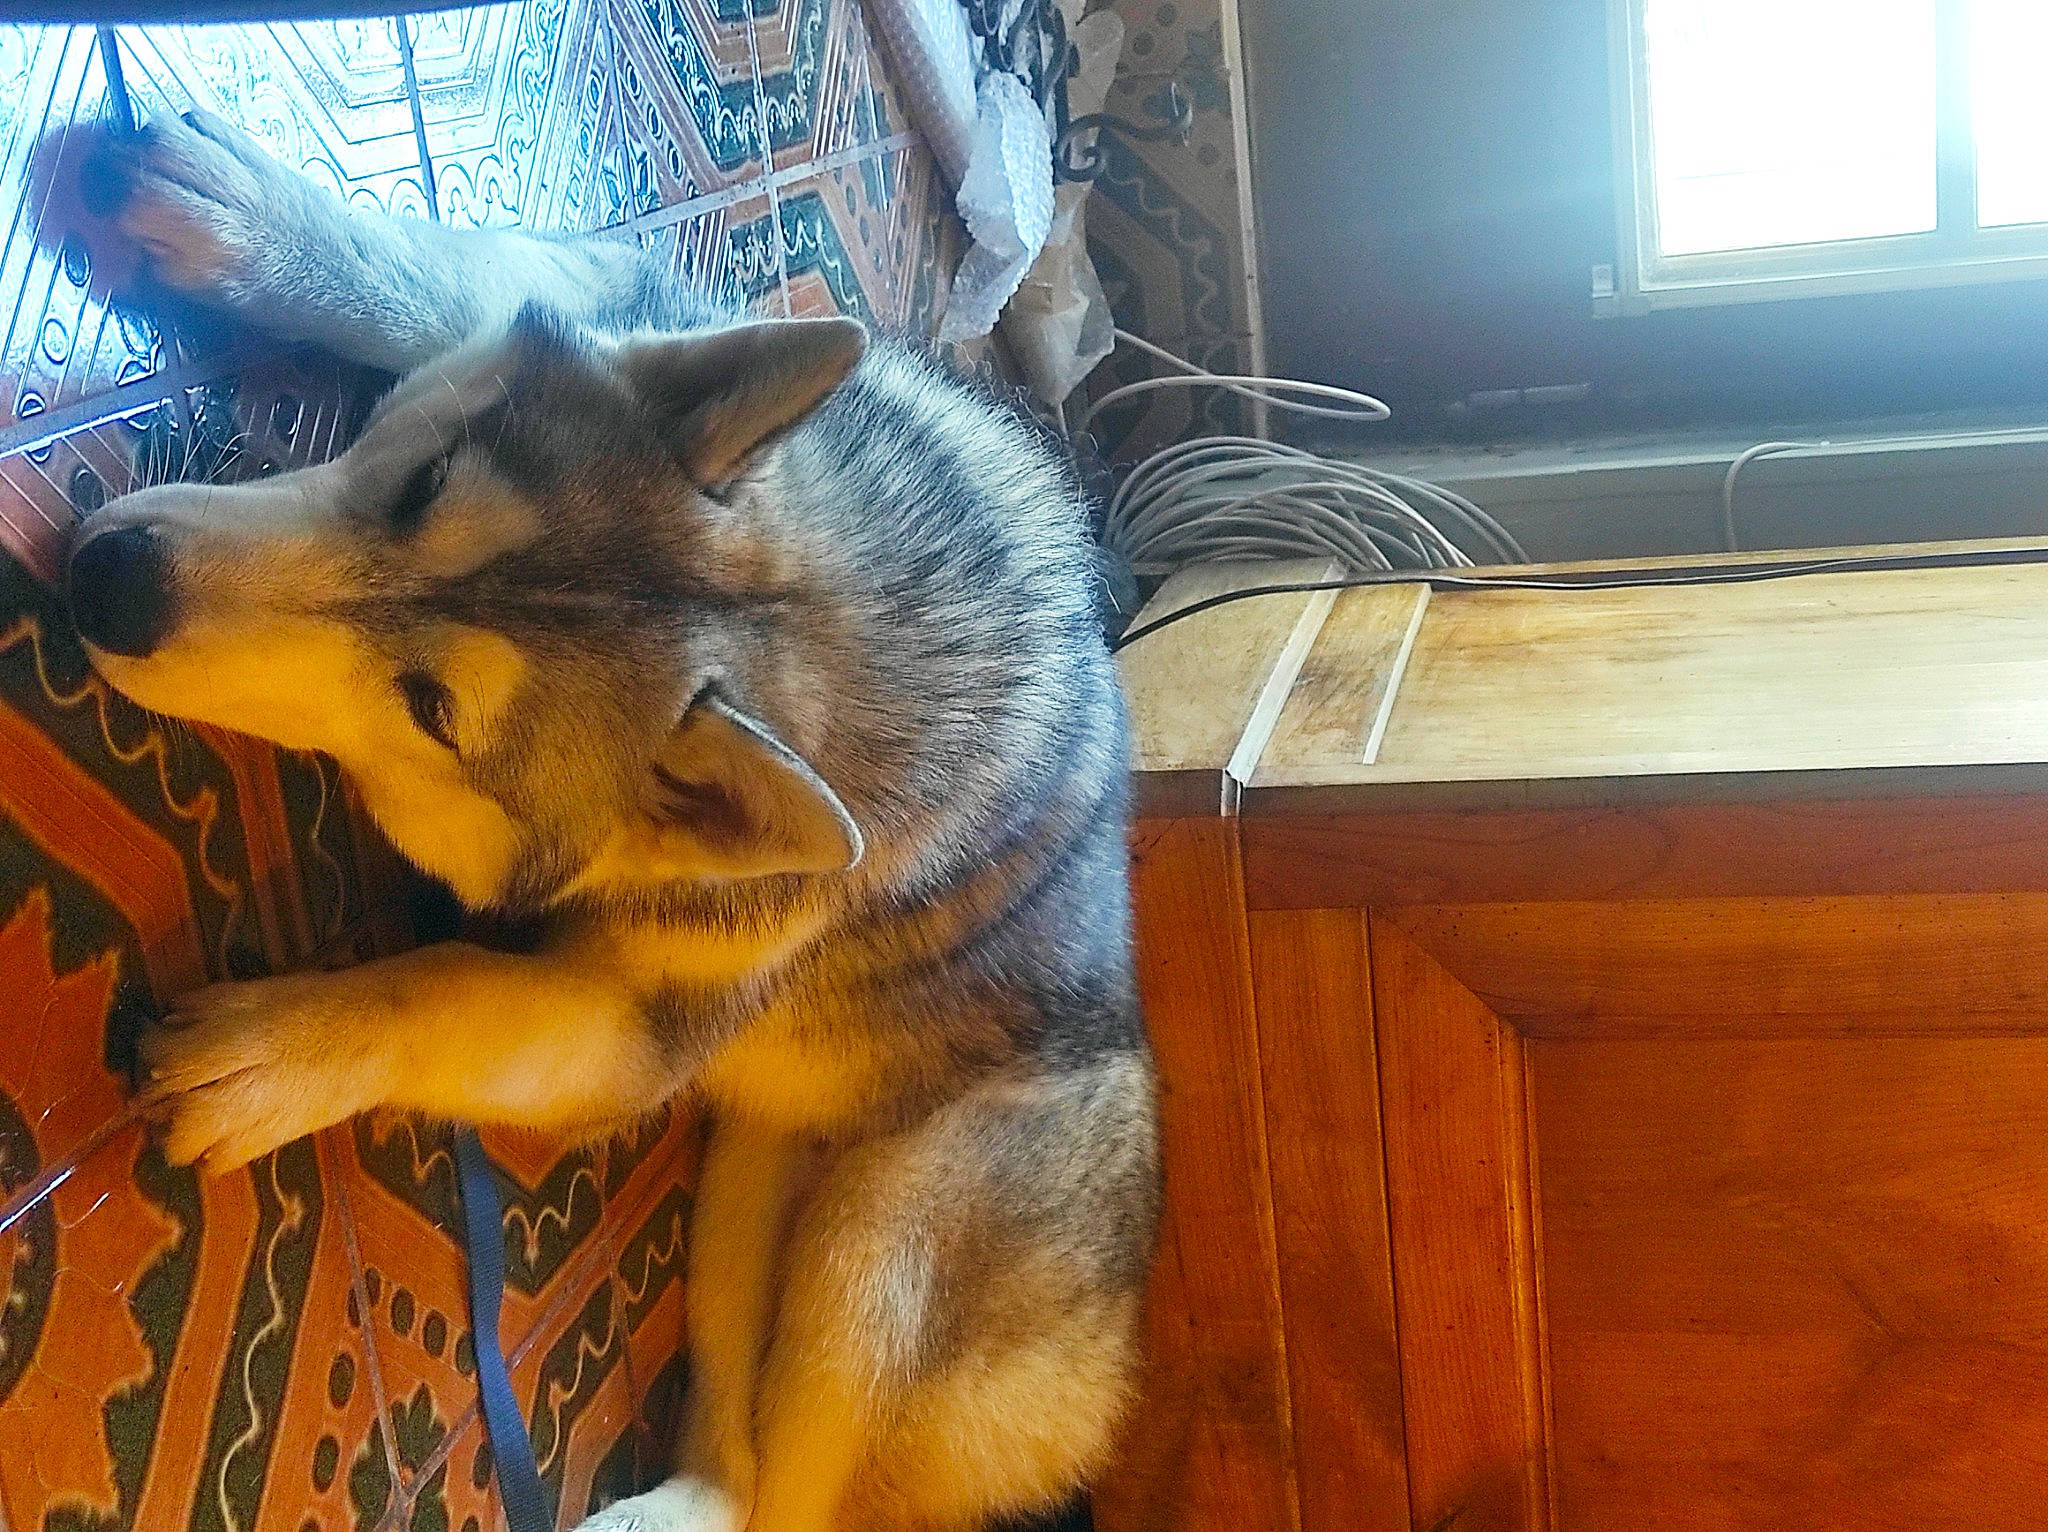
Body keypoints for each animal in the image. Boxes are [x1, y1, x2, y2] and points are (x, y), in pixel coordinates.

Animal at [55, 109, 1158, 1532]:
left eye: (432, 710)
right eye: (421, 479)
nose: (109, 582)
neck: (835, 612)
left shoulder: (625, 1038)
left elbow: (437, 980)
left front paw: (270, 1054)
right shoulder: (604, 298)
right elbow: (434, 276)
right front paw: (245, 217)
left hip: (878, 1252)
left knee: (797, 1492)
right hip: (747, 1190)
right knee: (738, 1465)